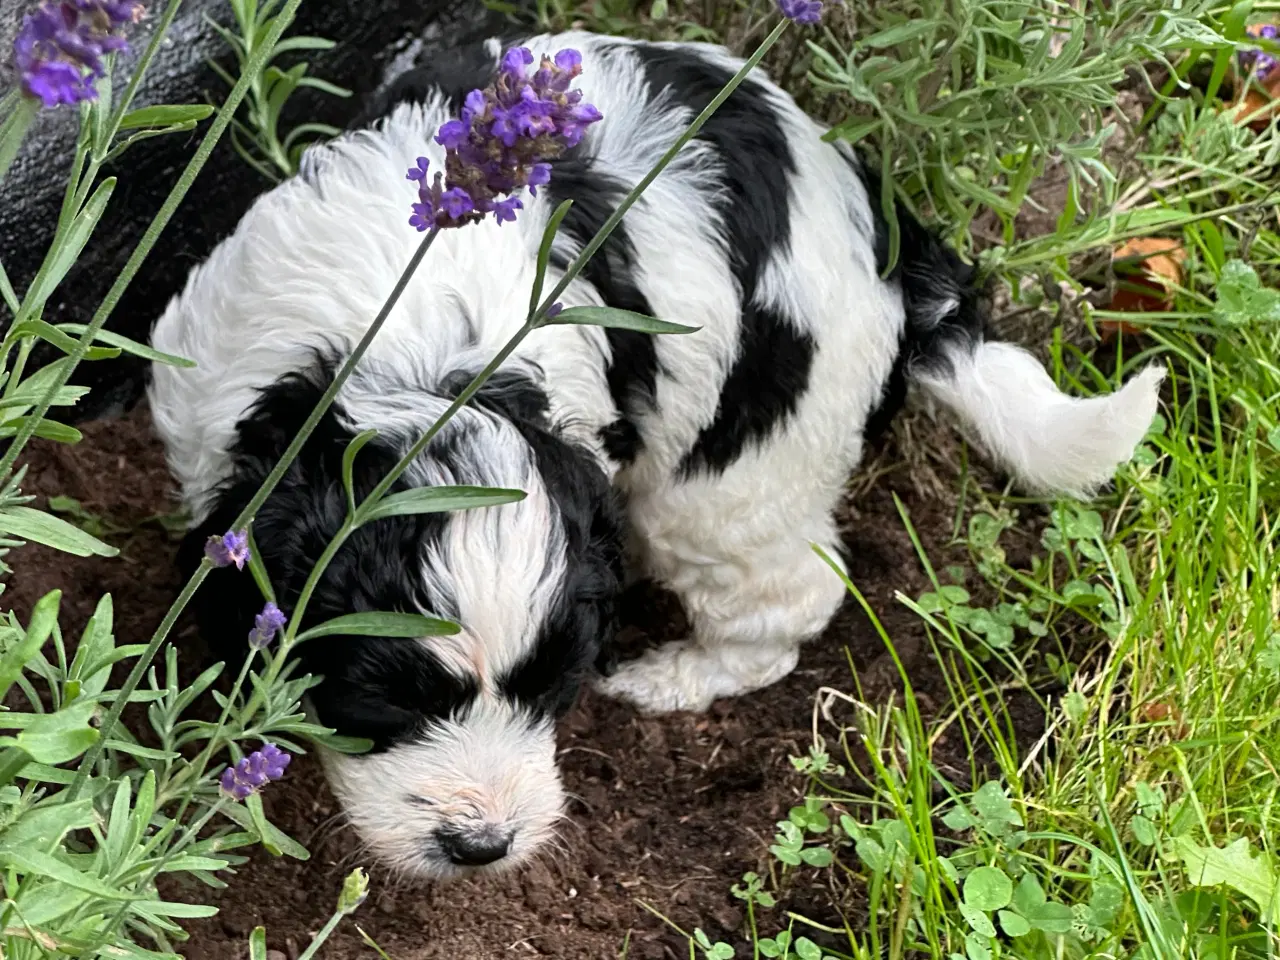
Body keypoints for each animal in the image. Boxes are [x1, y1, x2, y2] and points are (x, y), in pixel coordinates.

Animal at [147, 30, 1162, 880]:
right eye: (382, 702)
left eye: (555, 688)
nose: (483, 846)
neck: (423, 354)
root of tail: (900, 252)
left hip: (730, 478)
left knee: (789, 595)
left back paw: (680, 676)